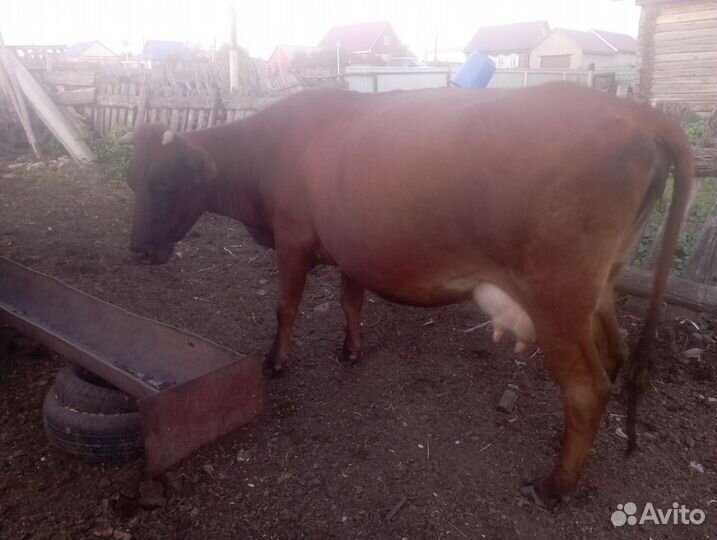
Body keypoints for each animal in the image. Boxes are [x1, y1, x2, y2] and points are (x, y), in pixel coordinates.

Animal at [119, 82, 694, 508]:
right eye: (131, 181)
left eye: (164, 183)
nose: (138, 251)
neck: (270, 149)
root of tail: (636, 112)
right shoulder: (351, 246)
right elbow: (350, 301)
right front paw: (351, 351)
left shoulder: (292, 240)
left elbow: (286, 307)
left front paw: (276, 362)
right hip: (601, 285)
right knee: (615, 356)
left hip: (557, 297)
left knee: (586, 388)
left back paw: (554, 486)